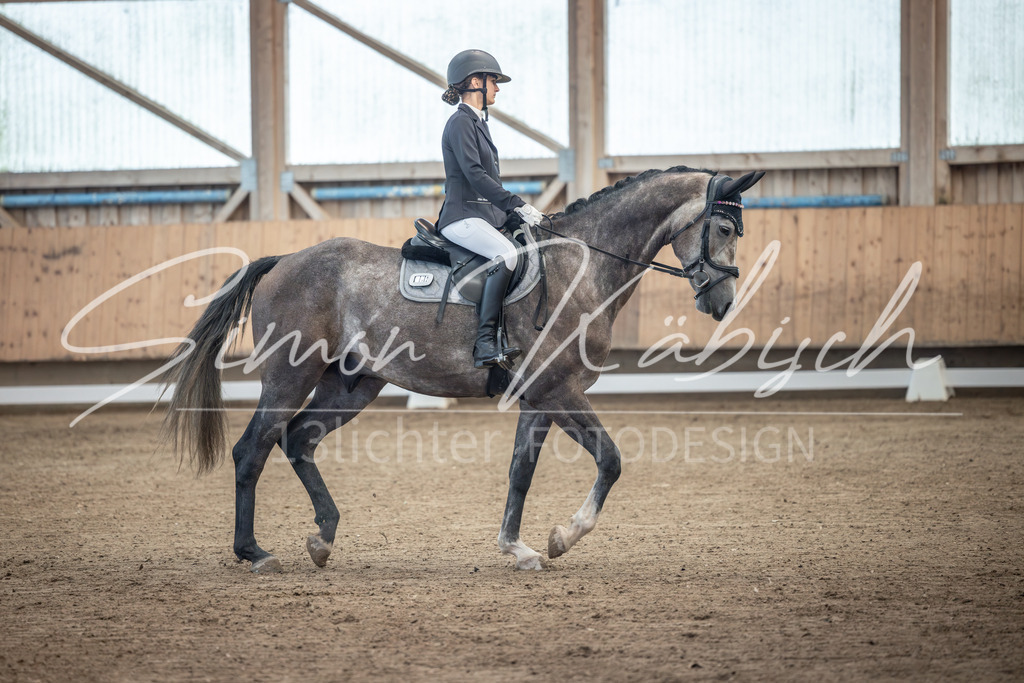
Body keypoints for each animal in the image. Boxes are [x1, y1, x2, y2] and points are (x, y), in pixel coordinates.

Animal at [163, 166, 766, 573]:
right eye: (725, 230)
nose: (722, 303)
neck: (583, 264)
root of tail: (282, 262)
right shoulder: (559, 388)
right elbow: (611, 460)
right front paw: (563, 536)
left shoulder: (540, 395)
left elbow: (522, 471)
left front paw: (519, 548)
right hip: (291, 376)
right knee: (253, 448)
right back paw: (254, 552)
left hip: (352, 385)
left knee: (298, 439)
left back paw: (323, 538)